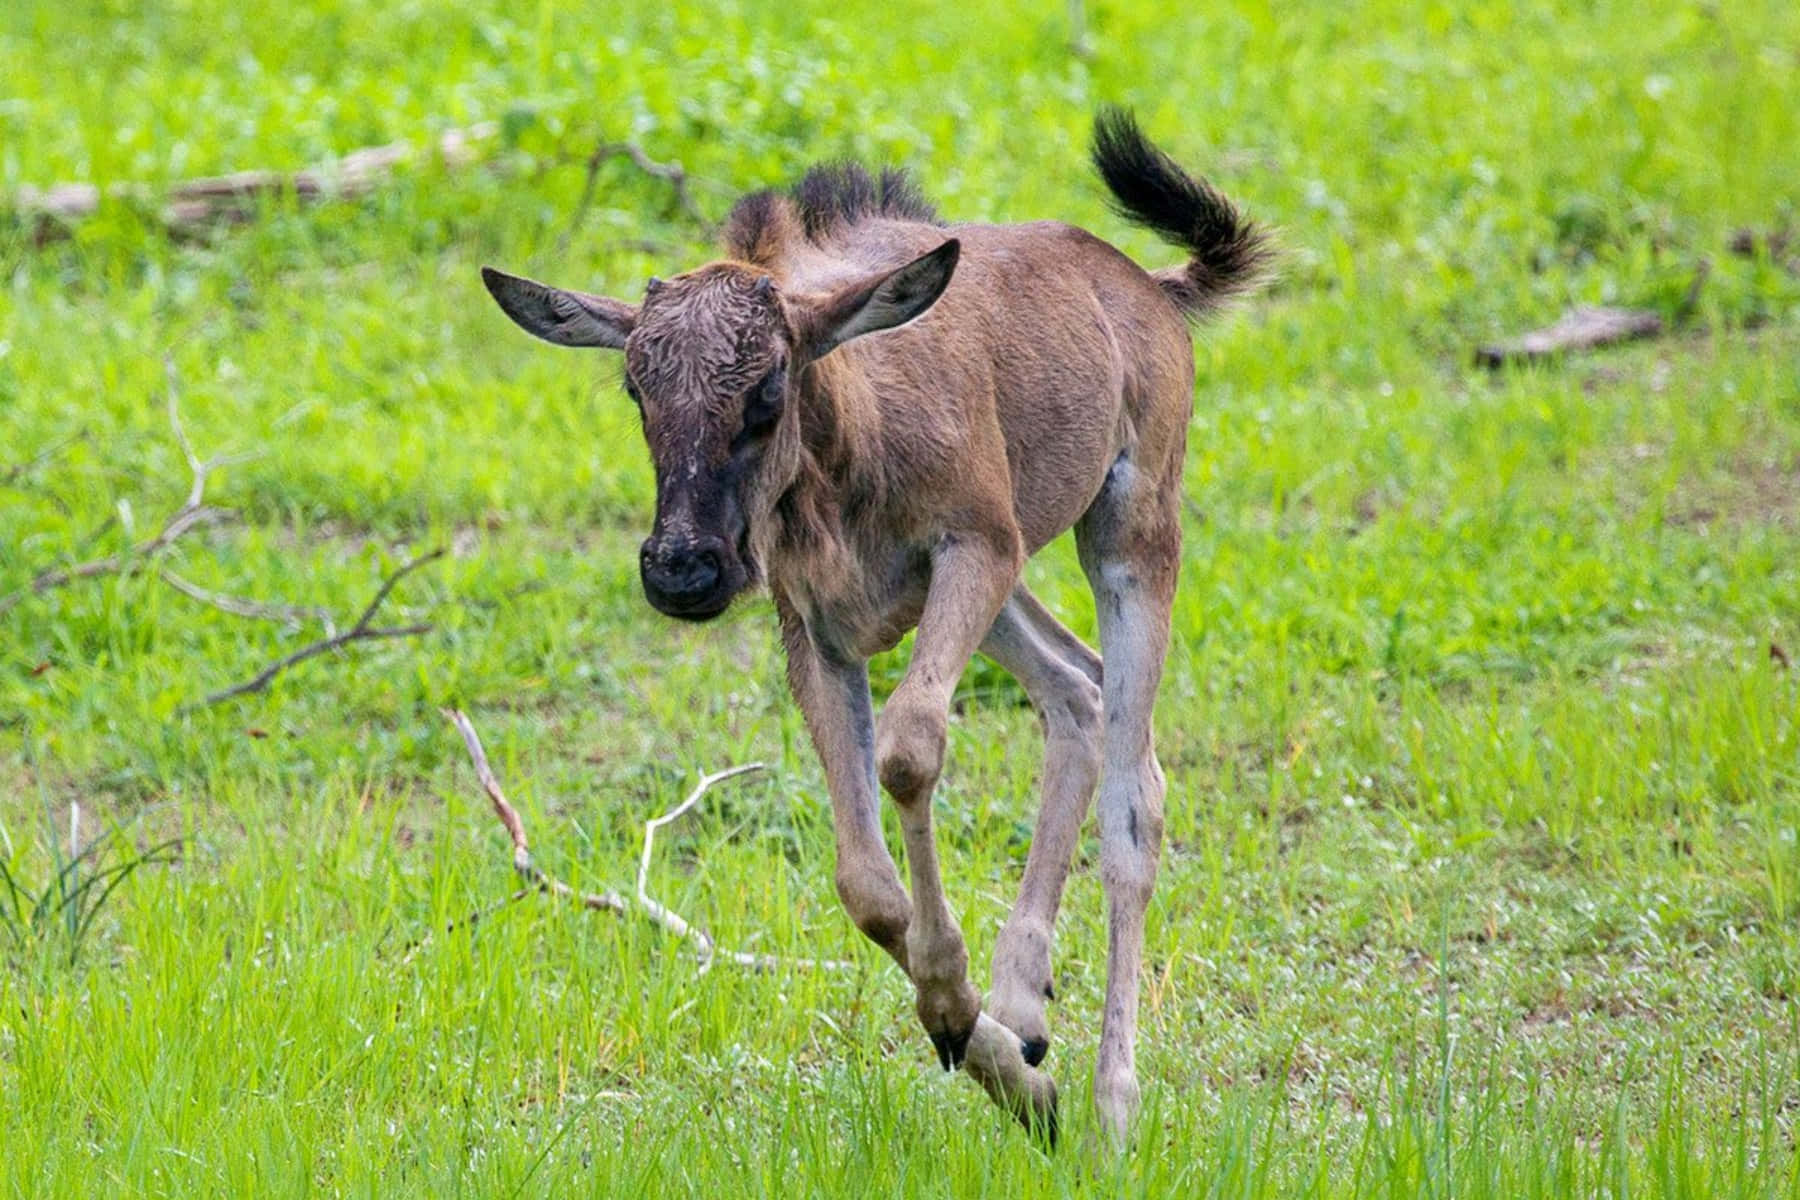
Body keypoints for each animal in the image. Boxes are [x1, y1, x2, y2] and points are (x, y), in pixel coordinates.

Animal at [478, 110, 1267, 1144]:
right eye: (636, 392)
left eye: (769, 388)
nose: (683, 569)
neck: (846, 445)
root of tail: (1153, 291)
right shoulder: (820, 626)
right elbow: (864, 882)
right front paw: (998, 1061)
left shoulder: (972, 546)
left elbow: (910, 749)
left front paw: (961, 1013)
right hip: (1012, 591)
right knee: (1075, 690)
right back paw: (1023, 1009)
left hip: (1127, 532)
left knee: (1138, 798)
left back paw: (1114, 1103)